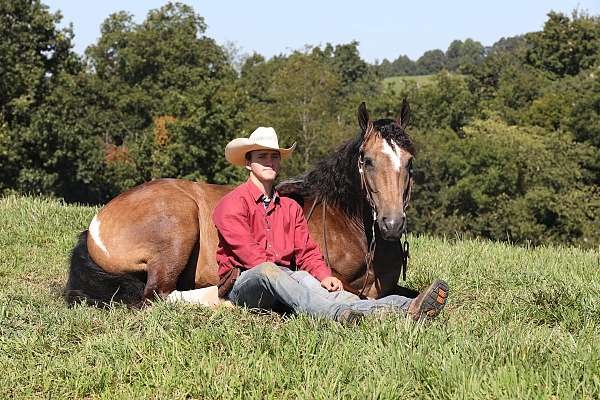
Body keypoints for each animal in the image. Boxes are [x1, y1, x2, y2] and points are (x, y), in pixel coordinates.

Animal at [63, 100, 414, 306]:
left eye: (409, 161)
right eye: (367, 160)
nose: (391, 224)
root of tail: (96, 226)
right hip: (178, 225)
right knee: (159, 294)